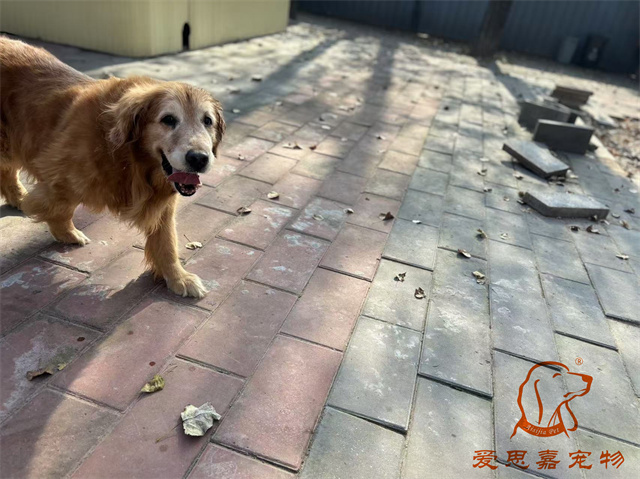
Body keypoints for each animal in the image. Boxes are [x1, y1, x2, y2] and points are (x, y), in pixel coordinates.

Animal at [0, 36, 225, 298]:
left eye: (207, 121)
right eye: (168, 119)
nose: (199, 158)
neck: (127, 157)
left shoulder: (164, 203)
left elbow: (167, 241)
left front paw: (177, 277)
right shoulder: (58, 174)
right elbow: (60, 206)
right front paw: (66, 232)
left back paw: (17, 197)